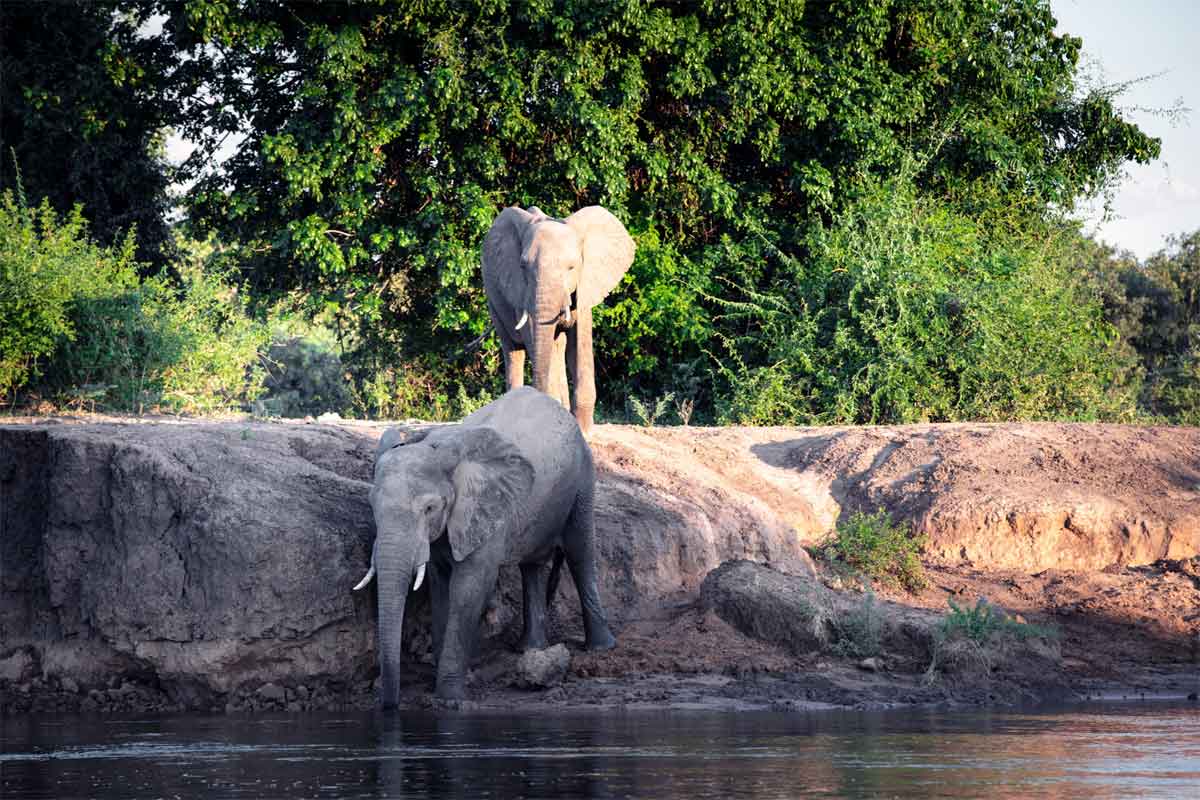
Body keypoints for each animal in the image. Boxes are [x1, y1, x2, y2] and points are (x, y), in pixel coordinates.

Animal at [352, 388, 619, 705]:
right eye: (371, 505)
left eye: (430, 508)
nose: (389, 705)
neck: (439, 450)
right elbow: (440, 584)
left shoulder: (483, 507)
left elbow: (468, 587)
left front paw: (450, 699)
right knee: (532, 566)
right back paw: (530, 649)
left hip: (583, 476)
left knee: (580, 553)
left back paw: (600, 647)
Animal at [480, 203, 638, 434]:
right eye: (523, 266)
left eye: (572, 267)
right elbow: (534, 337)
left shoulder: (584, 288)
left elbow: (579, 344)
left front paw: (583, 430)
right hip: (492, 296)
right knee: (514, 350)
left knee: (557, 346)